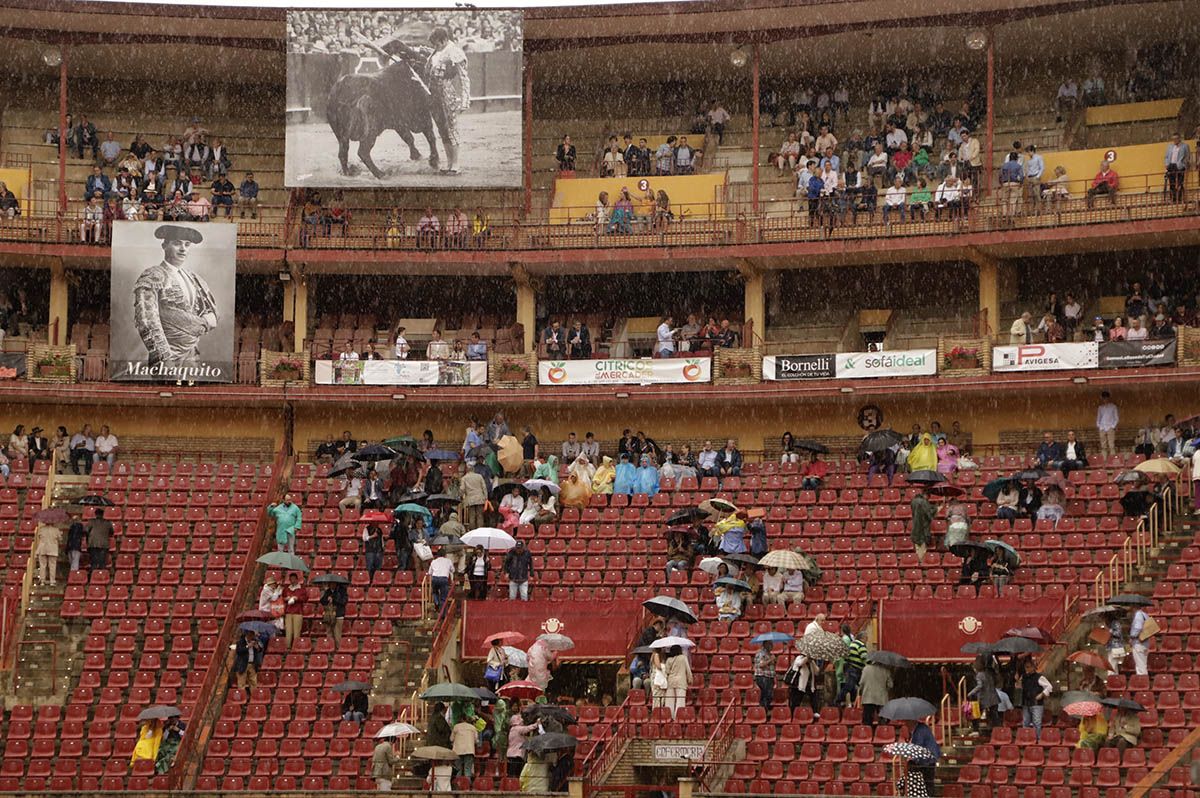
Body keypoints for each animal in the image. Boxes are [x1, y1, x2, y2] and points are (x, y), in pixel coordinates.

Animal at [324, 37, 453, 178]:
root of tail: (338, 92)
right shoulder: (422, 115)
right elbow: (430, 135)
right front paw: (434, 161)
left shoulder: (399, 122)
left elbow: (409, 137)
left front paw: (416, 155)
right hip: (371, 130)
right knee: (363, 151)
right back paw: (380, 174)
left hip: (340, 134)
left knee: (343, 152)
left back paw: (348, 172)